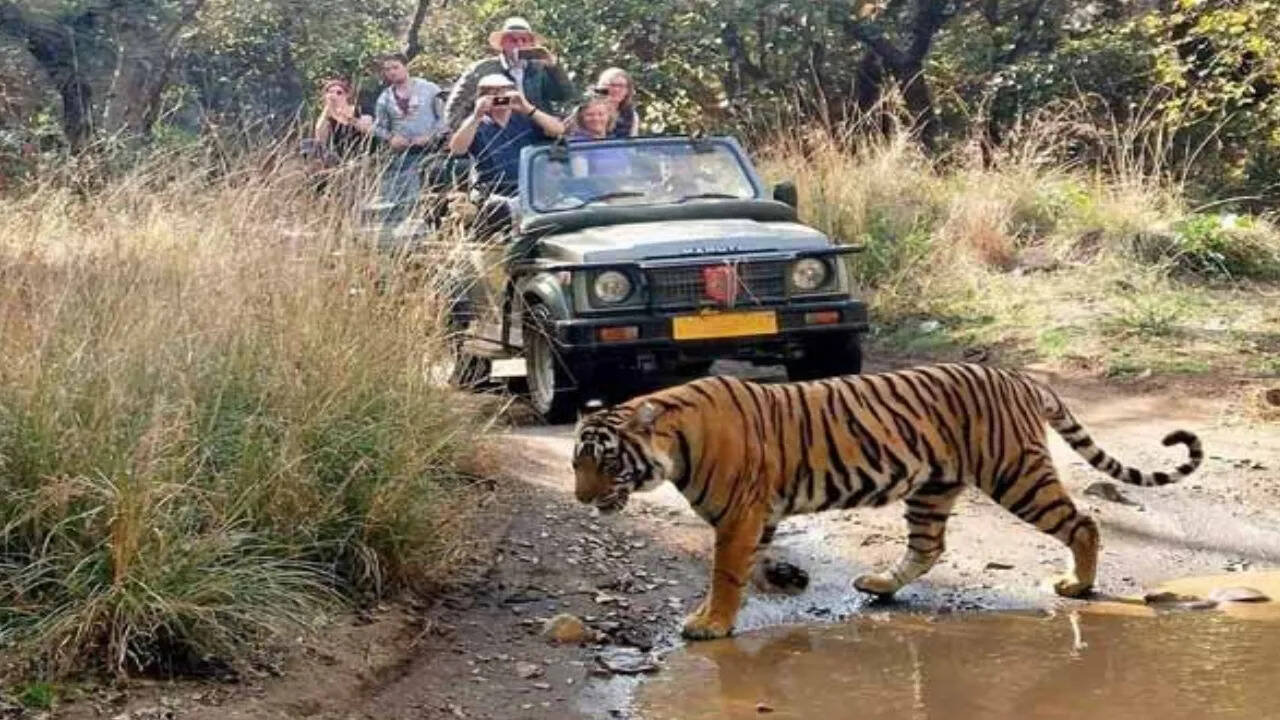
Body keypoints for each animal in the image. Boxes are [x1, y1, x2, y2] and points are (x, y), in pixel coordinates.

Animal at [572, 363, 1203, 640]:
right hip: (932, 488)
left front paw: (710, 623)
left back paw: (1079, 585)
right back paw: (877, 585)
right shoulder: (756, 517)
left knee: (1084, 521)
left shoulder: (740, 515)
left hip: (1015, 474)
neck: (673, 442)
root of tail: (1019, 376)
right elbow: (740, 568)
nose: (581, 498)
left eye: (605, 462)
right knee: (928, 547)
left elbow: (724, 573)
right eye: (576, 464)